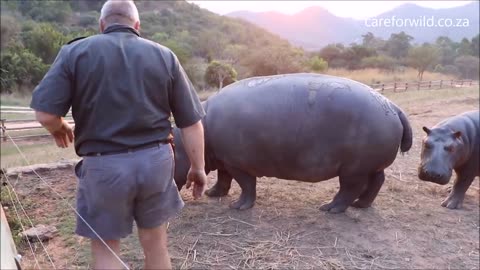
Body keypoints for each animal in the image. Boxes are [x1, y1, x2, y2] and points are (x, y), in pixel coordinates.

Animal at [172, 73, 412, 213]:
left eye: (171, 147)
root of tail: (394, 107)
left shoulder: (238, 163)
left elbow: (246, 185)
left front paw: (237, 207)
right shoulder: (224, 160)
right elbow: (224, 179)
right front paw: (213, 194)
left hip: (353, 169)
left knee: (350, 188)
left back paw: (328, 208)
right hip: (368, 165)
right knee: (376, 181)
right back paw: (360, 205)